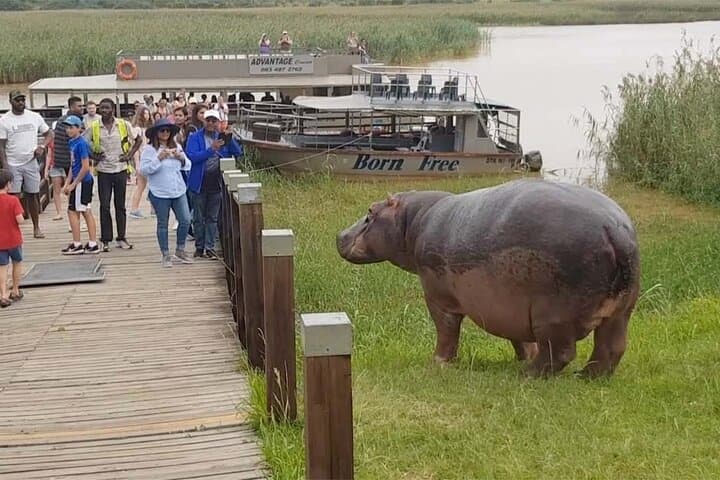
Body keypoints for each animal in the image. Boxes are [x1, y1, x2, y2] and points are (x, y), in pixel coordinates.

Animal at [336, 179, 640, 377]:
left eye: (370, 212)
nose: (339, 235)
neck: (413, 221)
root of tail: (614, 231)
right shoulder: (510, 308)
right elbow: (519, 339)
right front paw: (522, 358)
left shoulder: (438, 297)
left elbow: (446, 331)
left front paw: (437, 363)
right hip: (621, 312)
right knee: (611, 349)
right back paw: (586, 377)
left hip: (552, 315)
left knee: (561, 352)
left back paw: (528, 375)